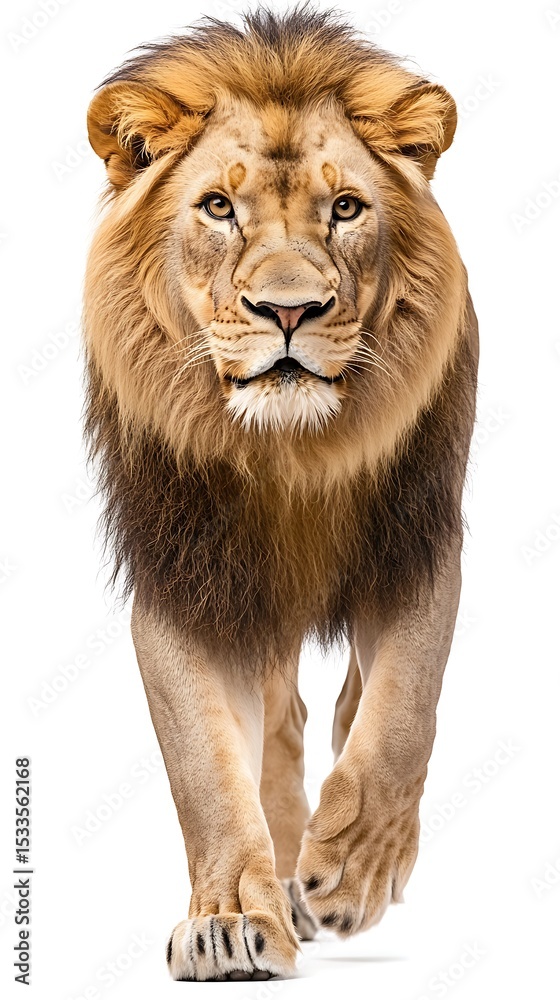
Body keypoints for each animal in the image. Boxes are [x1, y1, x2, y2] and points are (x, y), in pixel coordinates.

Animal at [83, 4, 478, 982]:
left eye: (346, 208)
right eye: (219, 208)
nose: (290, 310)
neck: (290, 454)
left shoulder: (420, 538)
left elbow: (403, 709)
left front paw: (357, 865)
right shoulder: (185, 577)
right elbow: (206, 770)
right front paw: (231, 920)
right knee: (281, 720)